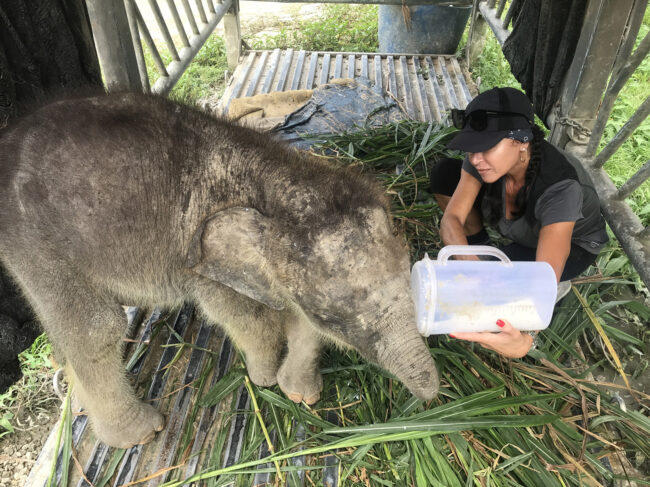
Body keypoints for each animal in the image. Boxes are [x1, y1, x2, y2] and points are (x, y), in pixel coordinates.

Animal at [0, 92, 439, 448]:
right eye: (335, 318)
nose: (434, 396)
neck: (275, 179)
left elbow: (297, 322)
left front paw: (300, 395)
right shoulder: (202, 267)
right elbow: (247, 317)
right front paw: (264, 379)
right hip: (34, 242)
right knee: (95, 326)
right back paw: (140, 434)